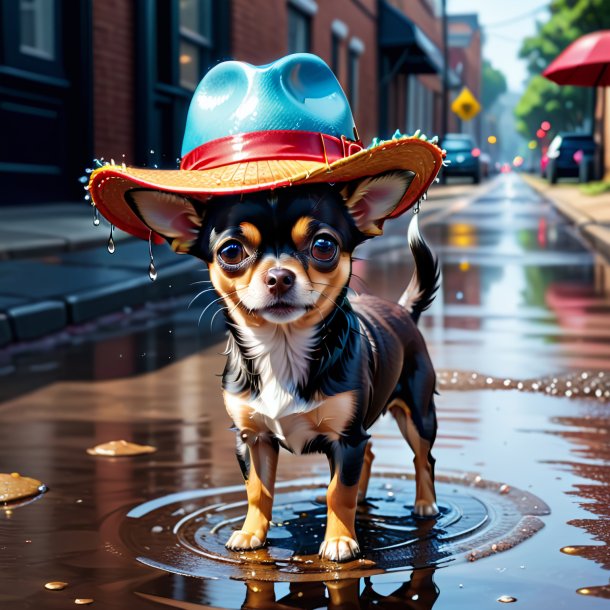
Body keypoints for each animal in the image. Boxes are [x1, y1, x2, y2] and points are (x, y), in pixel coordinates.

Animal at [124, 166, 436, 560]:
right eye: (231, 251)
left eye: (323, 246)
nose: (279, 276)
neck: (281, 350)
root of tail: (403, 310)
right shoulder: (253, 438)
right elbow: (259, 490)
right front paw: (251, 534)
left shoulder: (346, 437)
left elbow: (339, 491)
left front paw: (339, 540)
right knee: (369, 456)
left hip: (418, 414)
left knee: (422, 458)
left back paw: (425, 504)